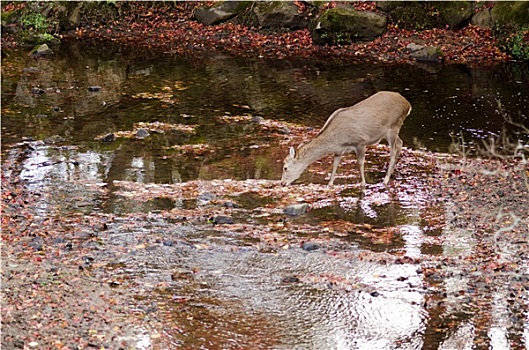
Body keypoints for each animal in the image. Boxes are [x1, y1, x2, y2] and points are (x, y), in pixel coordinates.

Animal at [280, 91, 408, 187]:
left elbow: (360, 163)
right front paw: (330, 184)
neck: (337, 140)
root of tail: (407, 104)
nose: (282, 183)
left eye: (285, 168)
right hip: (391, 131)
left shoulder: (360, 142)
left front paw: (363, 183)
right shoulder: (339, 151)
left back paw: (386, 179)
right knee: (400, 143)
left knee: (393, 150)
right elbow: (335, 165)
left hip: (393, 126)